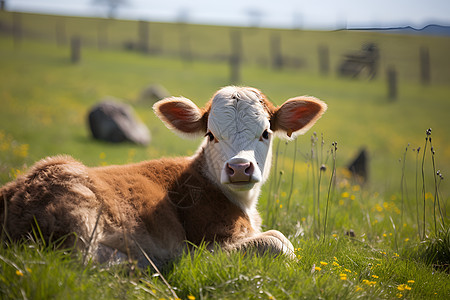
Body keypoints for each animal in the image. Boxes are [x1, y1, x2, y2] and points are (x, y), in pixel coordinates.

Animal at [1, 85, 328, 268]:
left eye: (266, 133)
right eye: (211, 134)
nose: (238, 167)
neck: (245, 205)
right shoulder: (210, 241)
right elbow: (279, 242)